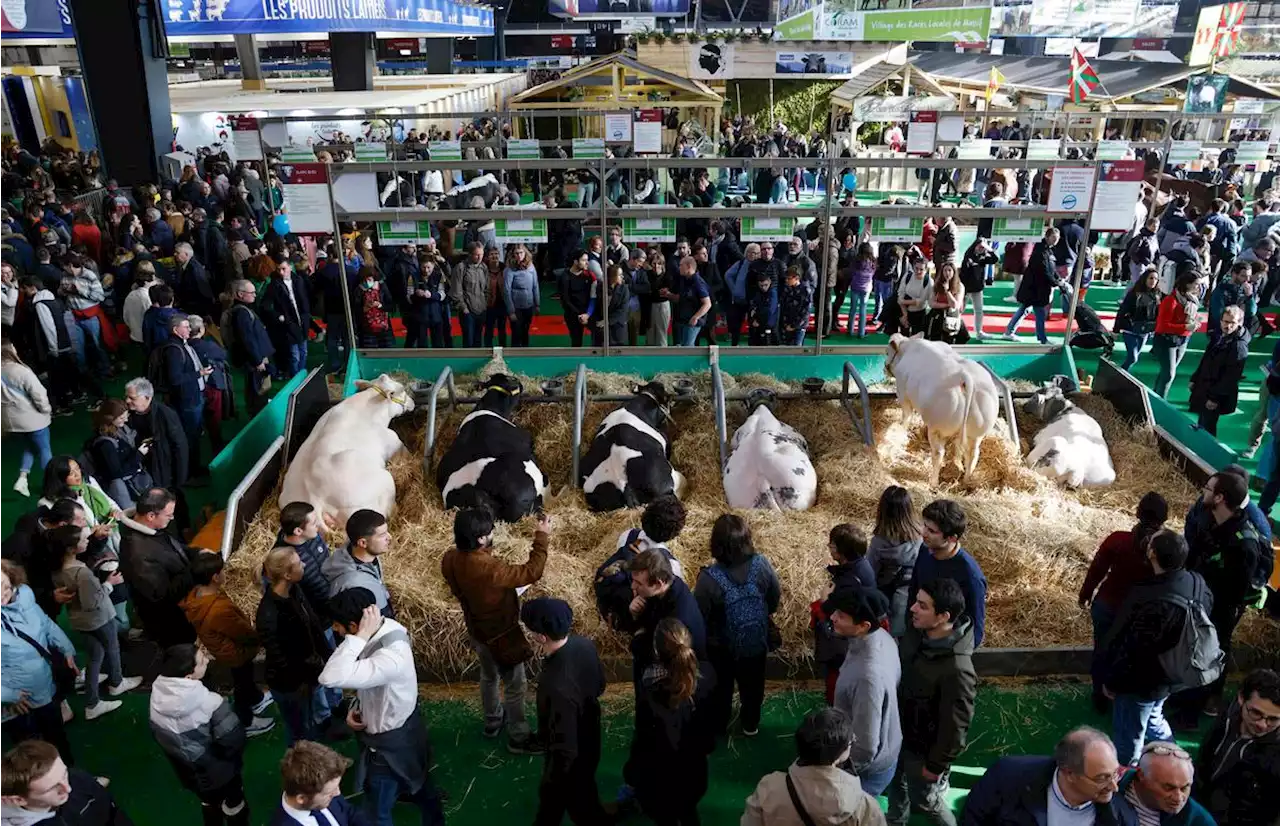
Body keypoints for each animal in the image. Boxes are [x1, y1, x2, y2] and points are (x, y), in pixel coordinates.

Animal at [890, 332, 998, 486]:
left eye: (887, 351)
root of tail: (964, 378)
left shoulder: (903, 394)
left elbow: (906, 416)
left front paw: (901, 429)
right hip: (977, 433)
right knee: (973, 454)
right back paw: (967, 480)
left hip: (937, 429)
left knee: (938, 453)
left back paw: (933, 482)